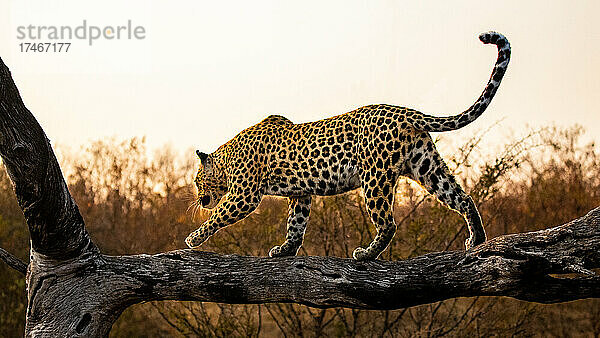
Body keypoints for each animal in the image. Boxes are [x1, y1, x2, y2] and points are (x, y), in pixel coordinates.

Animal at [186, 31, 510, 260]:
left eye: (197, 181)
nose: (199, 199)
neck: (227, 157)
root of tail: (405, 111)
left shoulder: (245, 194)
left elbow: (218, 216)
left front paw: (194, 238)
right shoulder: (301, 194)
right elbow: (296, 224)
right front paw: (285, 250)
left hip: (376, 177)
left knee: (388, 223)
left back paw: (366, 254)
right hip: (426, 167)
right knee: (463, 198)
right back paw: (477, 241)